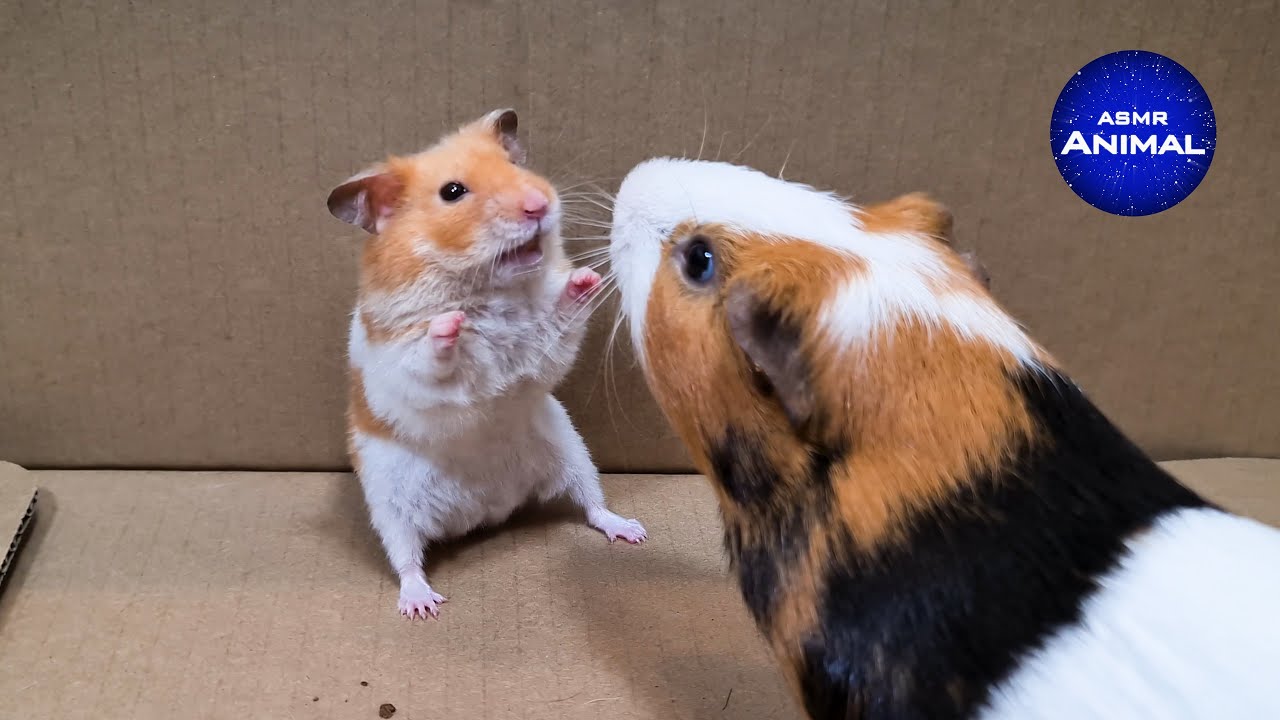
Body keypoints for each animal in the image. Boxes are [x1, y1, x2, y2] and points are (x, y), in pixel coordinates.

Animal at [327, 109, 645, 620]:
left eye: (513, 165)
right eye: (452, 191)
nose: (540, 204)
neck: (487, 286)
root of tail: (483, 510)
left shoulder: (545, 345)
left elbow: (560, 319)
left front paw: (586, 277)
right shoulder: (403, 363)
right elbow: (430, 357)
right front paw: (451, 324)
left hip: (572, 450)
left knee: (593, 504)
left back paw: (630, 529)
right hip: (387, 499)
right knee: (405, 556)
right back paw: (422, 605)